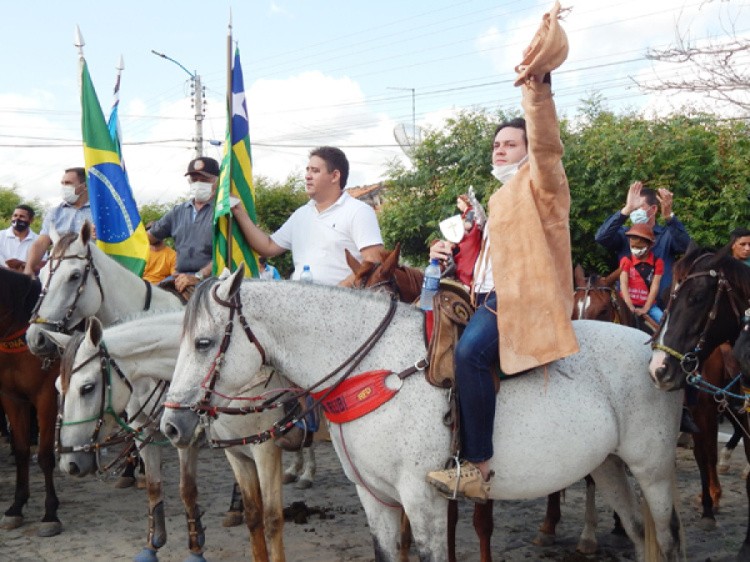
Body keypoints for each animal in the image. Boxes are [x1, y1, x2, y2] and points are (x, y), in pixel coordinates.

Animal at [163, 264, 688, 560]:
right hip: (609, 466)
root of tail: (653, 350)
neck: (376, 369)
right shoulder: (376, 499)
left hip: (653, 469)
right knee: (639, 533)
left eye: (204, 342)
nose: (171, 424)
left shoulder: (423, 500)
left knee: (668, 536)